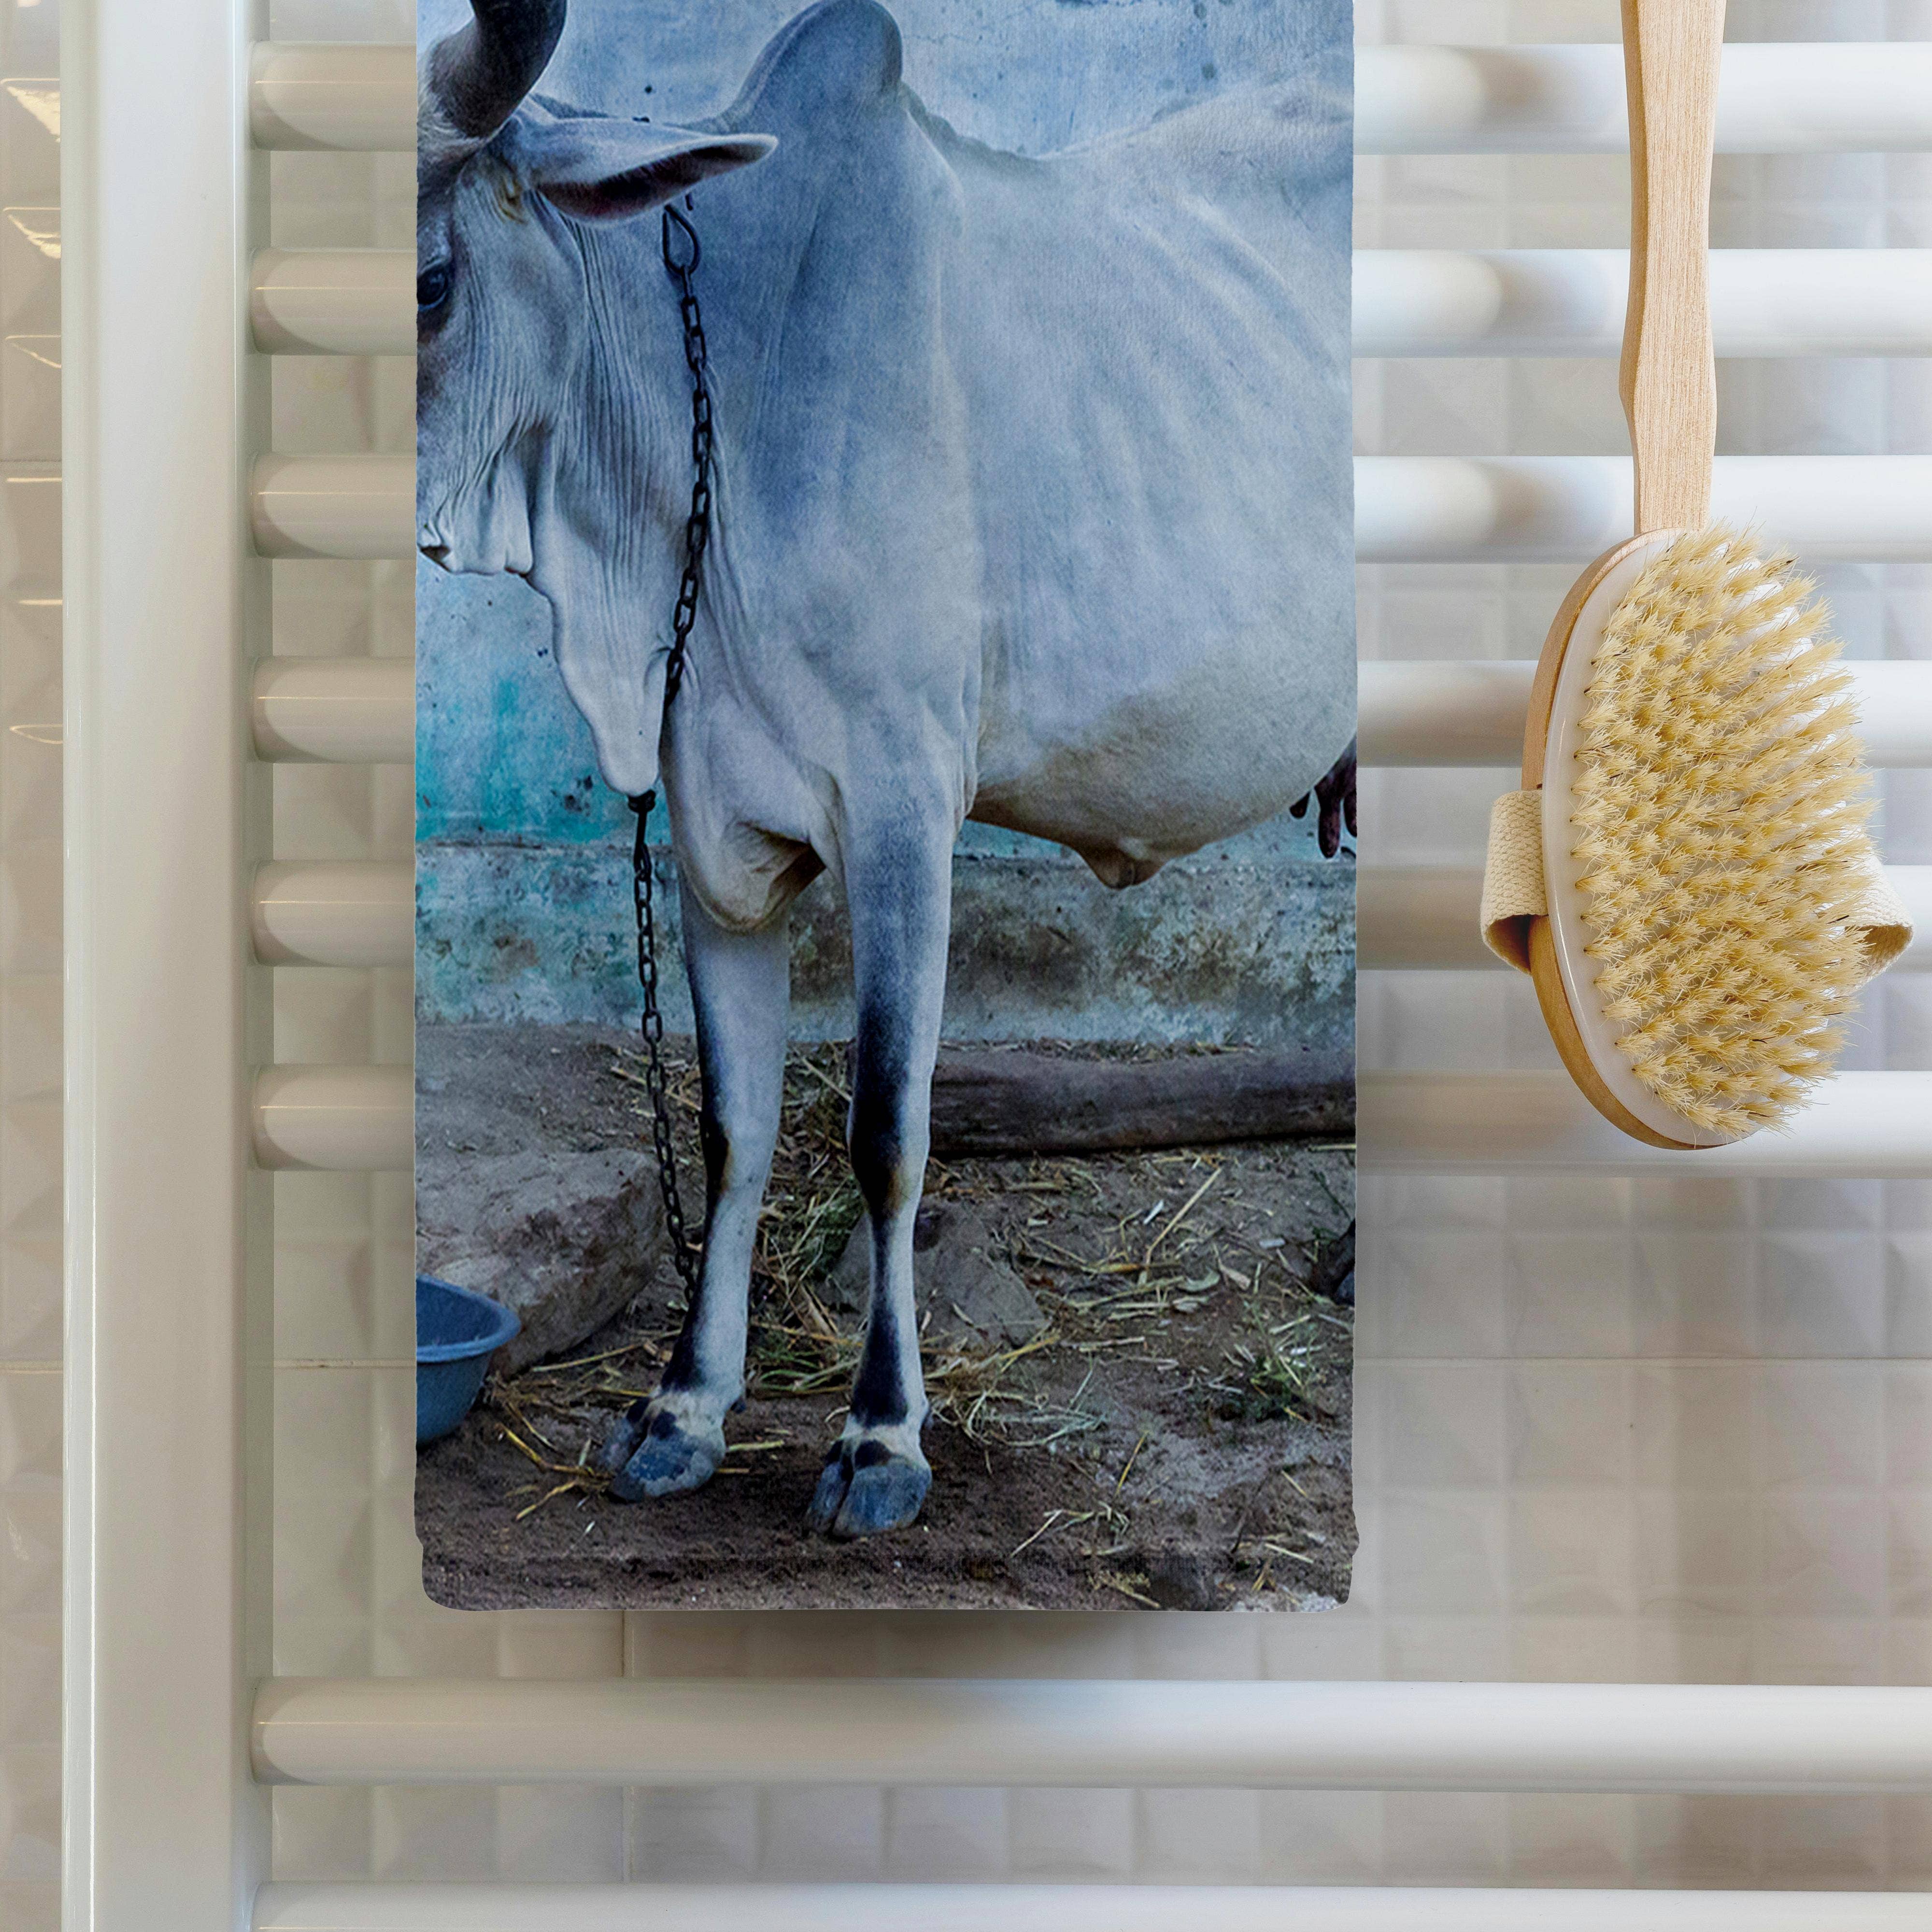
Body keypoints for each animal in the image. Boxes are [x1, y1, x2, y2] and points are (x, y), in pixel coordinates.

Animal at [416, 0, 1355, 1537]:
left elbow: (885, 1131)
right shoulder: (710, 832)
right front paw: (684, 1407)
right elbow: (732, 1129)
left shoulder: (907, 814)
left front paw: (879, 1434)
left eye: (432, 279)